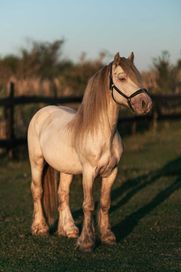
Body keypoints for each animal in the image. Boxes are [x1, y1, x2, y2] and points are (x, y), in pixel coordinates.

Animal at [27, 52, 152, 252]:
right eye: (121, 77)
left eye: (137, 75)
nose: (145, 104)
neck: (102, 133)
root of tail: (42, 112)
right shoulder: (88, 173)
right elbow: (88, 205)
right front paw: (86, 242)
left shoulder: (111, 172)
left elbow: (105, 203)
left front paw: (107, 237)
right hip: (37, 161)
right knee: (37, 191)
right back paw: (40, 228)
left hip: (66, 169)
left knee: (62, 193)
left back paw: (68, 230)